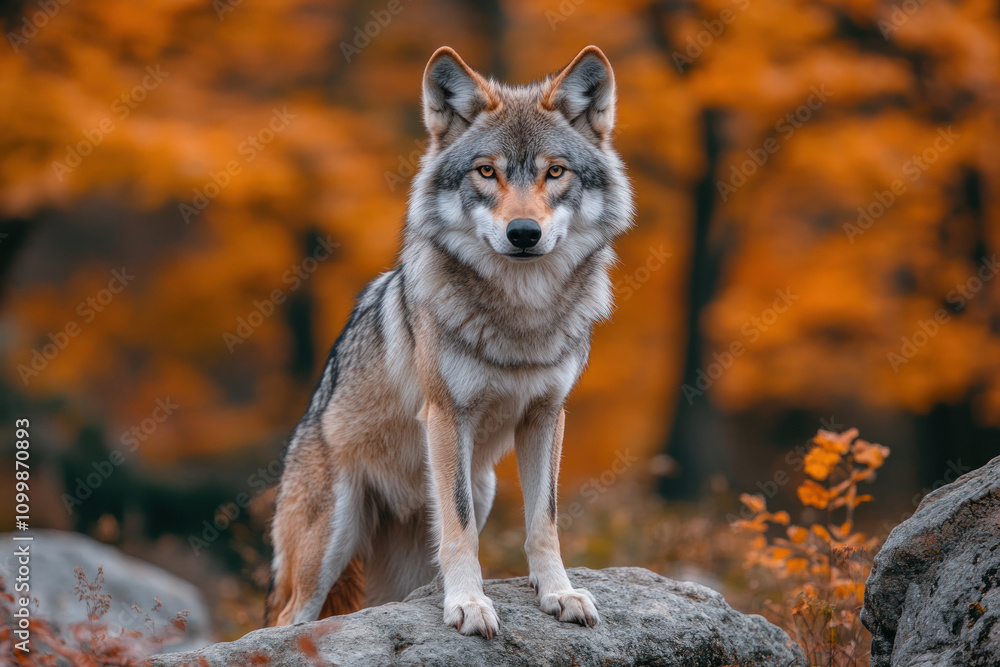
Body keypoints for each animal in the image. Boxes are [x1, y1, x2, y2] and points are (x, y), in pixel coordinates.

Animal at [266, 45, 634, 637]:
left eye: (555, 171)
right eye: (487, 171)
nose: (523, 233)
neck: (521, 315)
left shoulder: (547, 415)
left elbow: (545, 519)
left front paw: (558, 593)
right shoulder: (446, 416)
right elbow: (459, 525)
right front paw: (468, 604)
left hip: (469, 500)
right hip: (328, 544)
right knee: (286, 617)